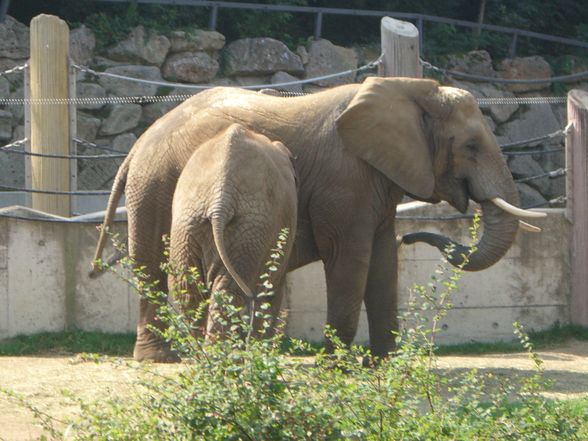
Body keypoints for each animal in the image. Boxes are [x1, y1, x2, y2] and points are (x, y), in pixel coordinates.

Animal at [169, 122, 298, 336]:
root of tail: (221, 196)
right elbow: (271, 287)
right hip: (251, 229)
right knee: (229, 289)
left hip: (188, 224)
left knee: (187, 288)